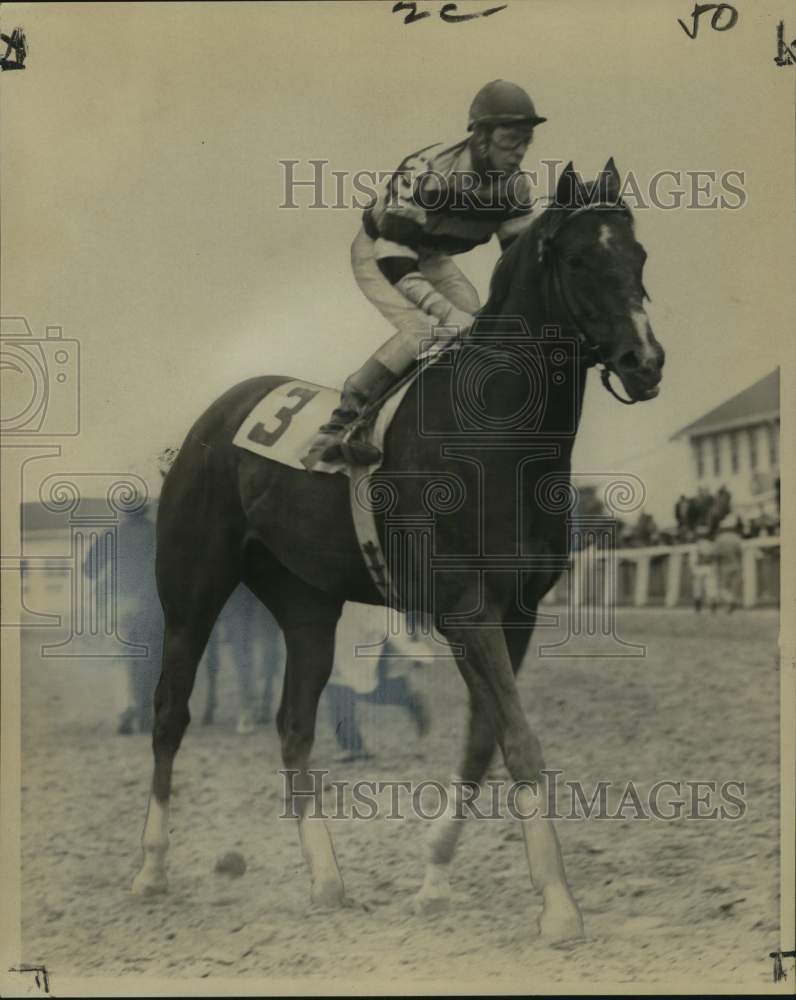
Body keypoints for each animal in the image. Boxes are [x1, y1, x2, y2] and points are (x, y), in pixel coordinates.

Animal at [132, 160, 664, 940]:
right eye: (577, 261)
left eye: (639, 256)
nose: (644, 361)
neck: (495, 432)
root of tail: (211, 418)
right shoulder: (464, 608)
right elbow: (519, 740)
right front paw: (558, 903)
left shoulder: (516, 611)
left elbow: (482, 741)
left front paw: (436, 876)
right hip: (191, 592)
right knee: (170, 714)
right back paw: (150, 868)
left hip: (307, 605)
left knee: (295, 724)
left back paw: (326, 878)